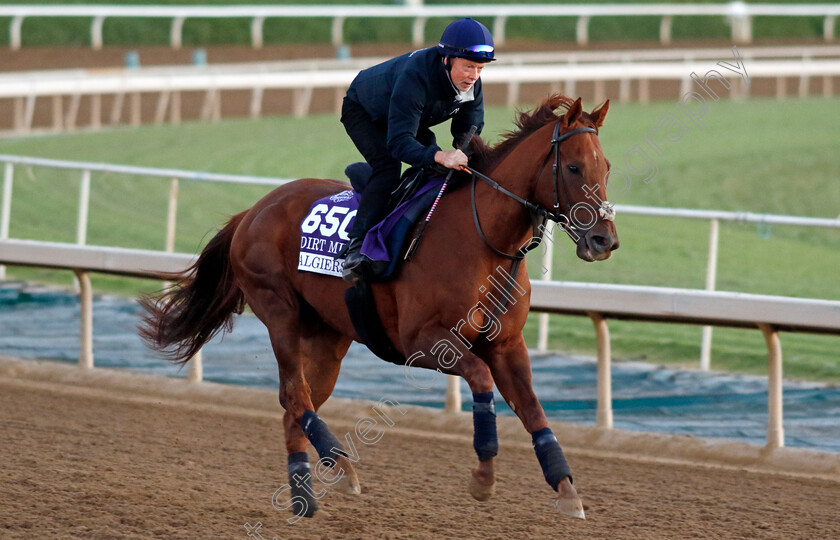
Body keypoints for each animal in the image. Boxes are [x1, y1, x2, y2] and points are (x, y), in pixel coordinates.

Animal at [139, 95, 616, 520]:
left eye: (606, 167)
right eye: (573, 167)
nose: (604, 240)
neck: (483, 241)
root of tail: (254, 210)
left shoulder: (507, 344)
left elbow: (534, 409)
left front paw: (567, 490)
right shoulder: (425, 342)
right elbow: (481, 380)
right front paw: (483, 477)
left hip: (328, 335)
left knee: (299, 401)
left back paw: (303, 495)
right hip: (278, 310)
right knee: (294, 392)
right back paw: (341, 468)